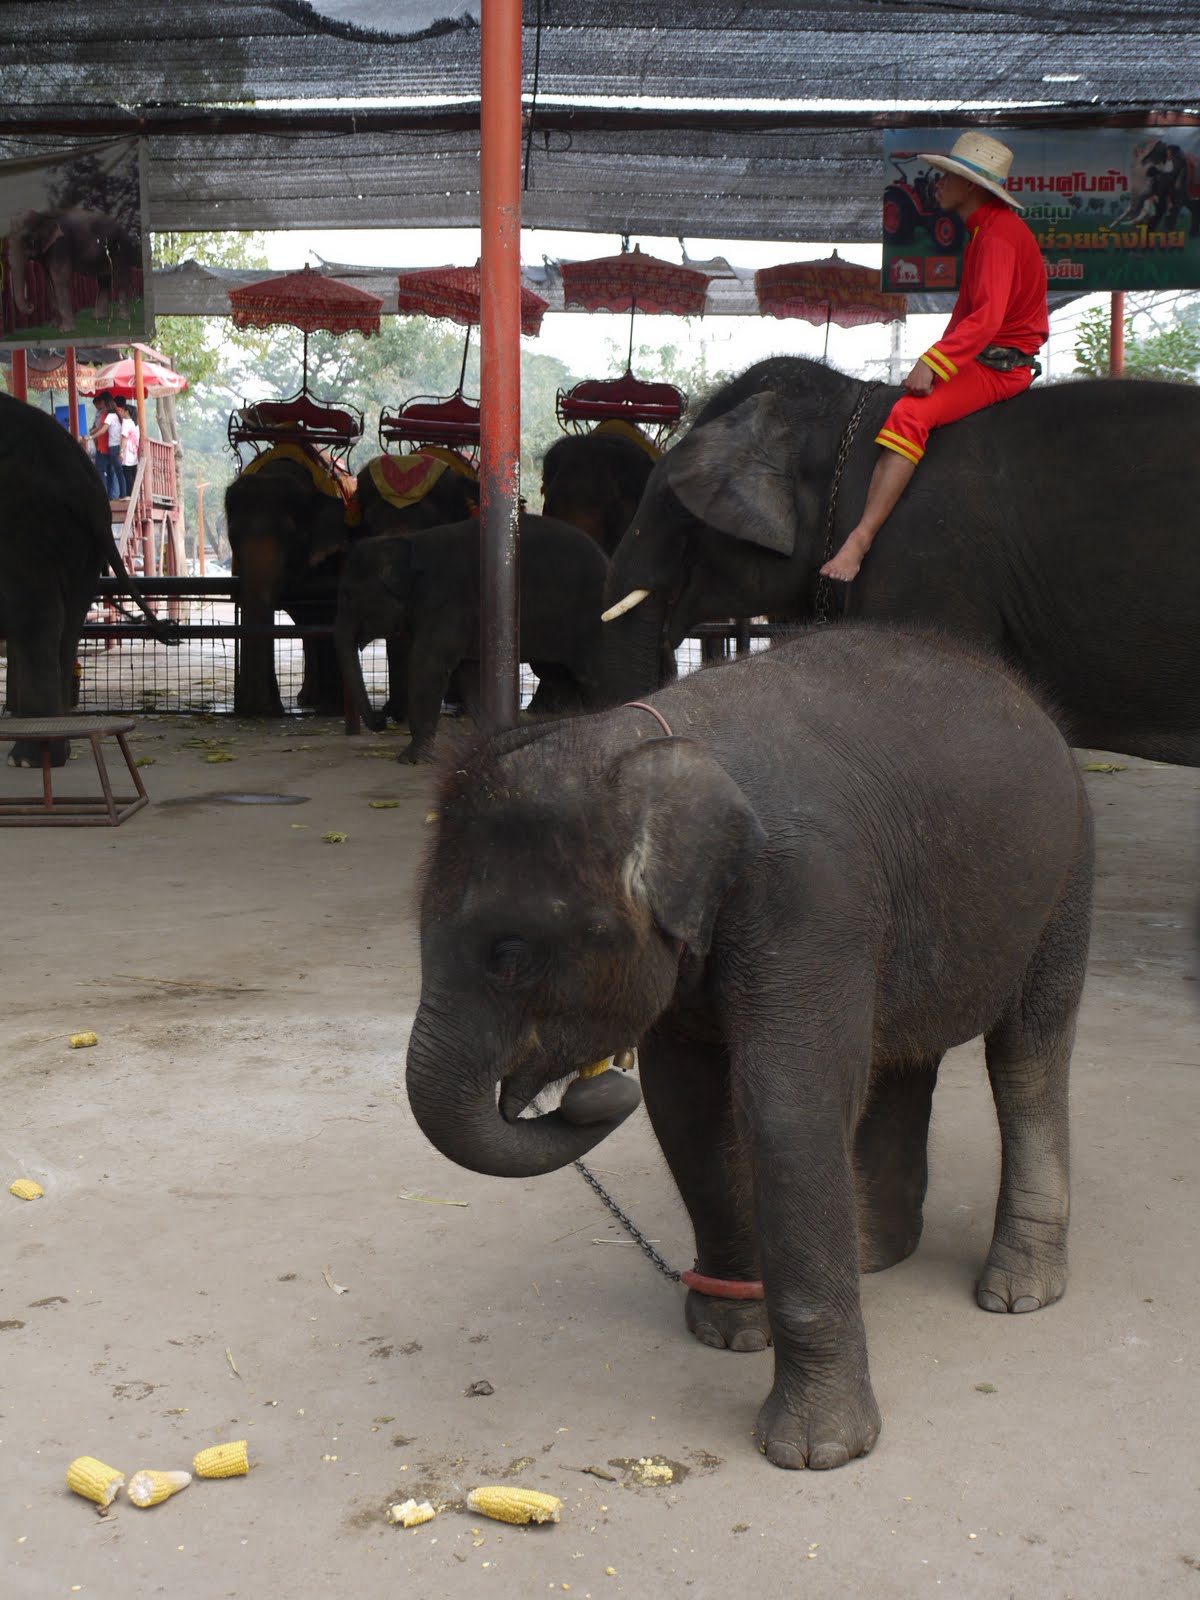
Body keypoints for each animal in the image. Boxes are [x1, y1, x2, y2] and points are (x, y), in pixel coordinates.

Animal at [6, 207, 140, 332]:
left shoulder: (61, 245)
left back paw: (123, 318)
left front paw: (65, 331)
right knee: (103, 280)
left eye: (29, 240)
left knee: (121, 277)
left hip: (121, 248)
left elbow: (60, 278)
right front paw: (54, 326)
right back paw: (98, 318)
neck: (44, 215)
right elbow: (49, 280)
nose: (31, 305)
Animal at [335, 512, 609, 762]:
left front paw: (411, 758)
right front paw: (485, 740)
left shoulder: (445, 601)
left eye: (349, 595)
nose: (382, 719)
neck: (410, 541)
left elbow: (427, 665)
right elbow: (468, 672)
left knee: (592, 674)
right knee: (556, 673)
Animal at [405, 624, 1094, 1469]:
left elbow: (787, 1109)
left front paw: (814, 1452)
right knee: (903, 1058)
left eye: (510, 956)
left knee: (1026, 1056)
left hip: (1069, 875)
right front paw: (731, 1334)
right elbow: (686, 1104)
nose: (594, 1092)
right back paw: (872, 1256)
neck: (641, 742)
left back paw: (1016, 1293)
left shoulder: (815, 895)